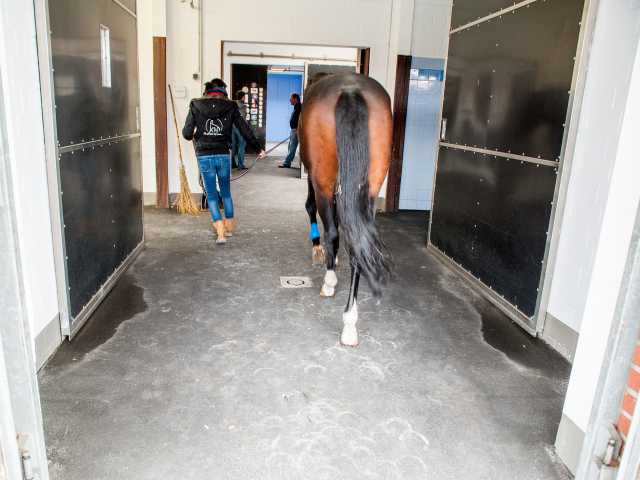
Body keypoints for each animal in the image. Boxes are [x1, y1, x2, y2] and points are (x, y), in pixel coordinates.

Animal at [300, 73, 396, 346]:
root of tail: (351, 90)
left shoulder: (315, 181)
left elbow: (311, 209)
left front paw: (319, 251)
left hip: (323, 181)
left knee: (333, 231)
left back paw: (330, 284)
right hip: (370, 186)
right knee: (357, 242)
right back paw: (350, 320)